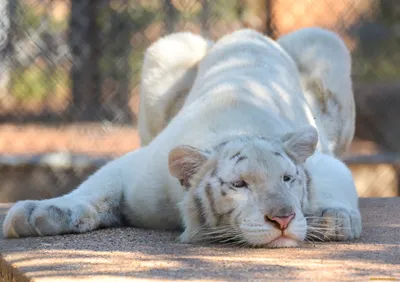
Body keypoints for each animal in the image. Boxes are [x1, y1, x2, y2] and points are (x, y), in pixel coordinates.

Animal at [1, 28, 360, 247]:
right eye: (239, 184)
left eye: (288, 179)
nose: (283, 218)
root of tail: (246, 32)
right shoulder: (141, 167)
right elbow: (94, 187)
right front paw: (40, 213)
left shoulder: (324, 162)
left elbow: (336, 181)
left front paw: (334, 219)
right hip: (167, 50)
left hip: (324, 41)